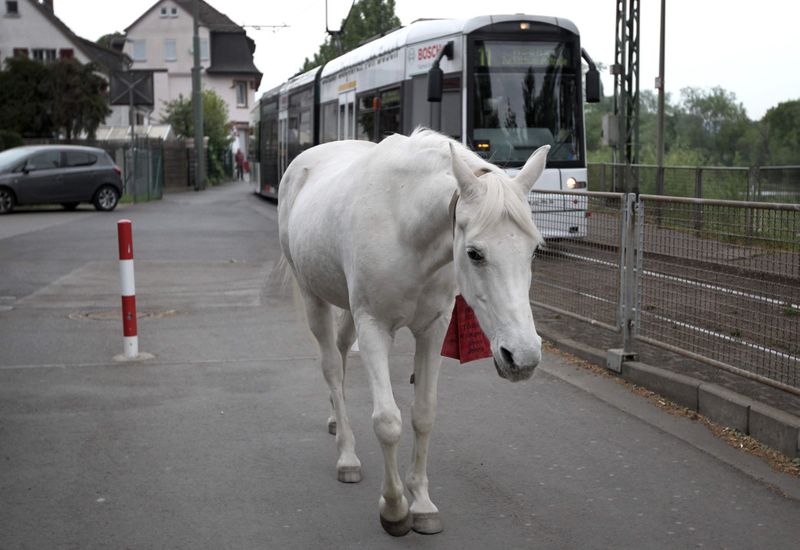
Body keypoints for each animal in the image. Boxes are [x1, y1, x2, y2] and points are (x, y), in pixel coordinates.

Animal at [277, 128, 548, 536]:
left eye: (534, 251)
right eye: (474, 253)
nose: (523, 356)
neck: (404, 225)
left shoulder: (432, 329)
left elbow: (423, 413)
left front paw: (421, 503)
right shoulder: (374, 327)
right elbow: (388, 422)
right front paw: (394, 509)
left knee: (340, 351)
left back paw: (335, 420)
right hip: (314, 298)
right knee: (331, 366)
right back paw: (347, 455)